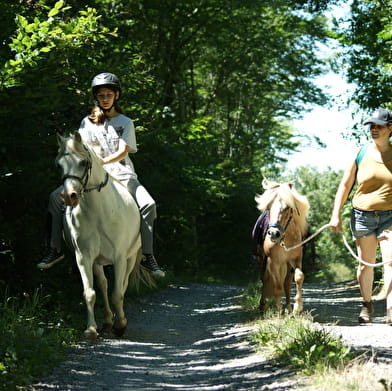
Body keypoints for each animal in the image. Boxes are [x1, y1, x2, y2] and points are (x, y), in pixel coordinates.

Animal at [56, 132, 151, 340]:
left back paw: (118, 321)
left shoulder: (120, 257)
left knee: (122, 285)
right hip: (97, 262)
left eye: (83, 162)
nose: (69, 196)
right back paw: (107, 322)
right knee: (103, 285)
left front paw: (121, 325)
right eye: (58, 165)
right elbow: (90, 293)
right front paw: (91, 329)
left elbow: (118, 293)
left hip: (130, 257)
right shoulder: (84, 257)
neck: (98, 211)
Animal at [254, 179, 310, 314]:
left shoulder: (296, 259)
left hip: (287, 265)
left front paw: (297, 307)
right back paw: (263, 306)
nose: (274, 233)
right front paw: (279, 312)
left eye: (287, 207)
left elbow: (299, 277)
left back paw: (289, 308)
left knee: (287, 284)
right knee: (265, 279)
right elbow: (277, 288)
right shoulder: (273, 263)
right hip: (263, 261)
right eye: (268, 208)